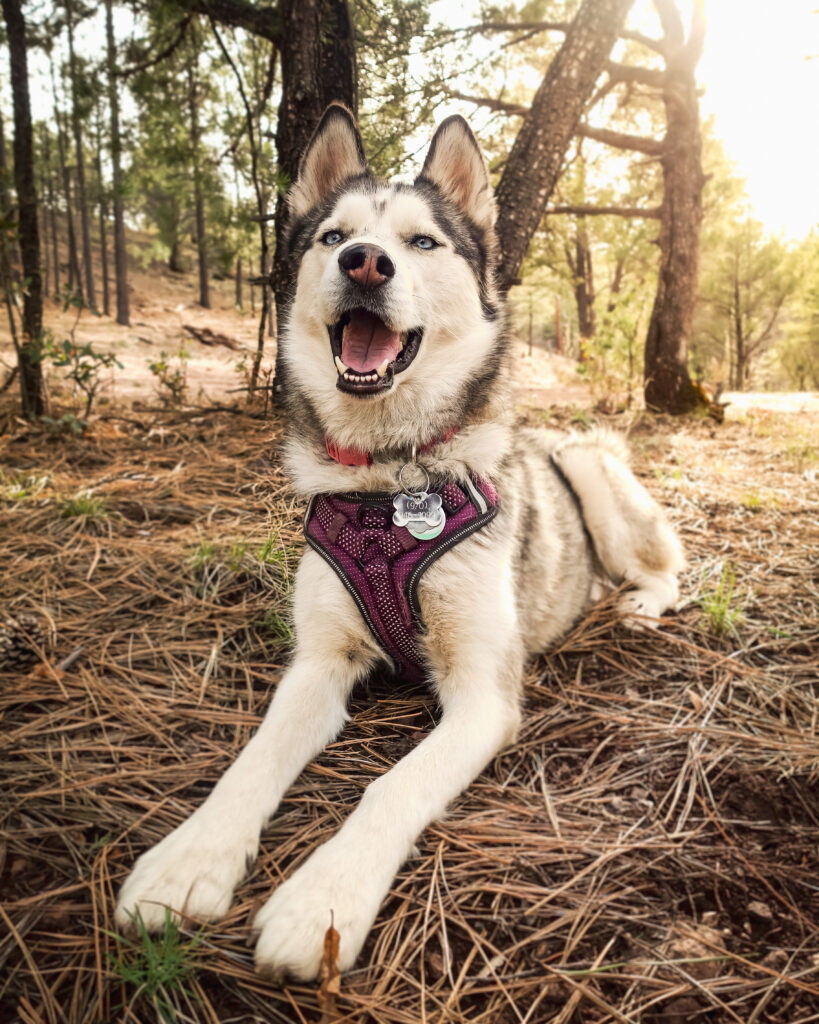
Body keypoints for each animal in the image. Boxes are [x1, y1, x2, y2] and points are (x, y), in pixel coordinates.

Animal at [112, 108, 679, 978]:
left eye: (419, 242)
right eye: (333, 236)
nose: (365, 262)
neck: (389, 481)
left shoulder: (483, 697)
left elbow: (391, 787)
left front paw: (321, 904)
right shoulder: (318, 662)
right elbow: (252, 761)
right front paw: (188, 861)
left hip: (588, 466)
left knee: (664, 564)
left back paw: (637, 605)